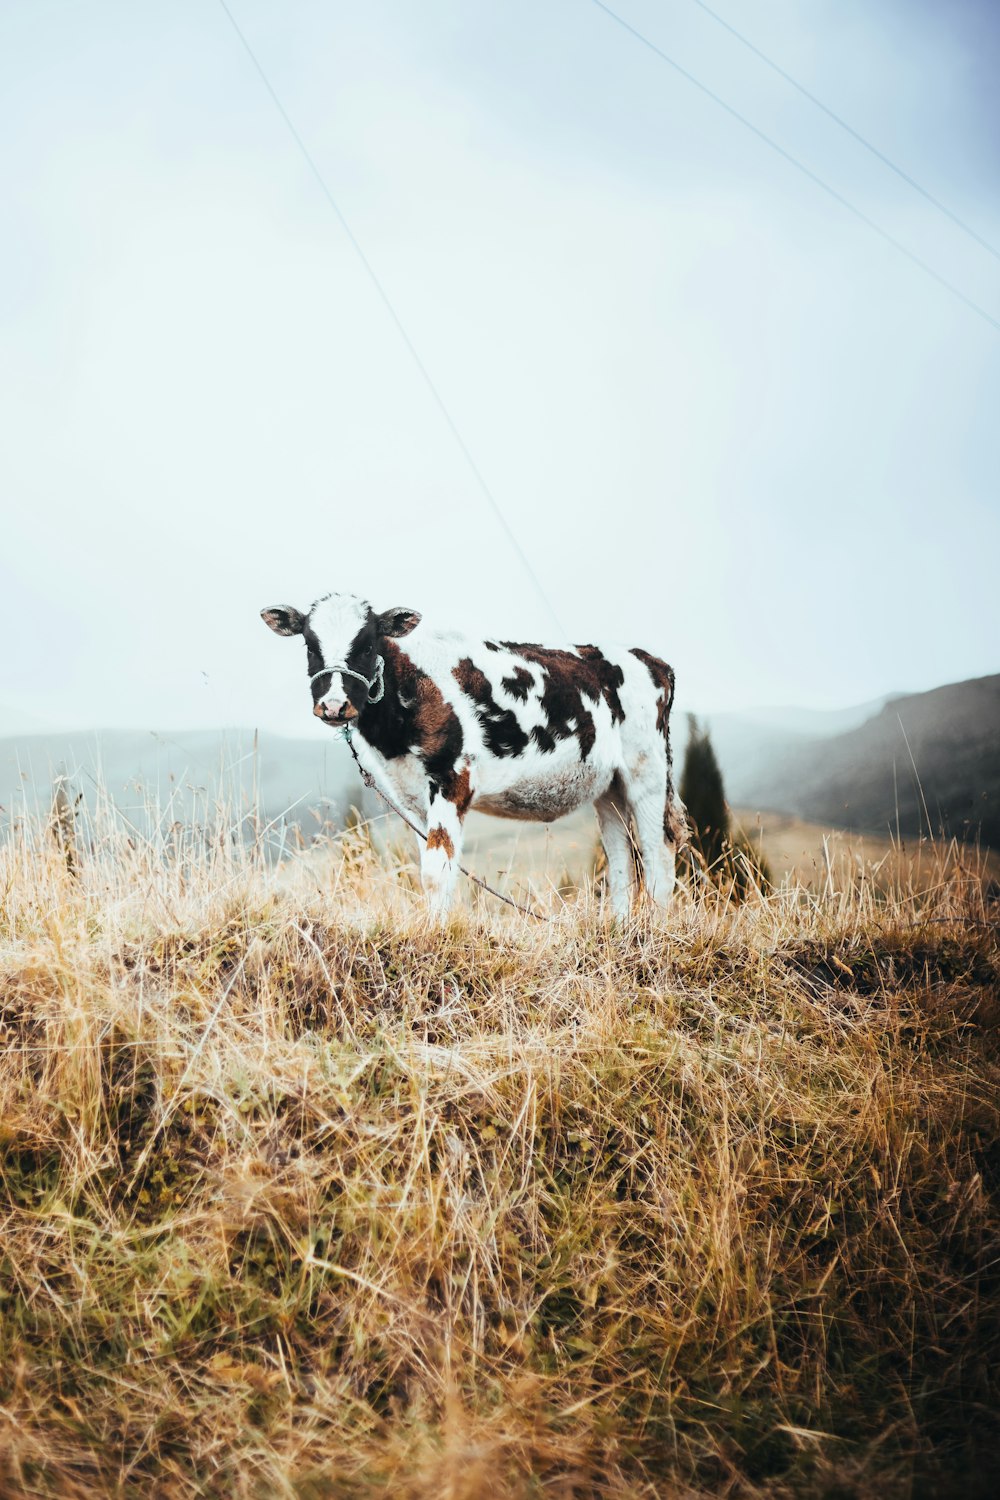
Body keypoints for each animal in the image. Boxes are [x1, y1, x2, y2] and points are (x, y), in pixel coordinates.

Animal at [260, 594, 689, 912]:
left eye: (367, 645)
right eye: (309, 645)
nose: (334, 706)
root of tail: (653, 661)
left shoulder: (453, 778)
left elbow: (436, 871)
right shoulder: (410, 795)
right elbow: (432, 866)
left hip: (647, 771)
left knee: (657, 853)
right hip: (608, 787)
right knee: (620, 861)